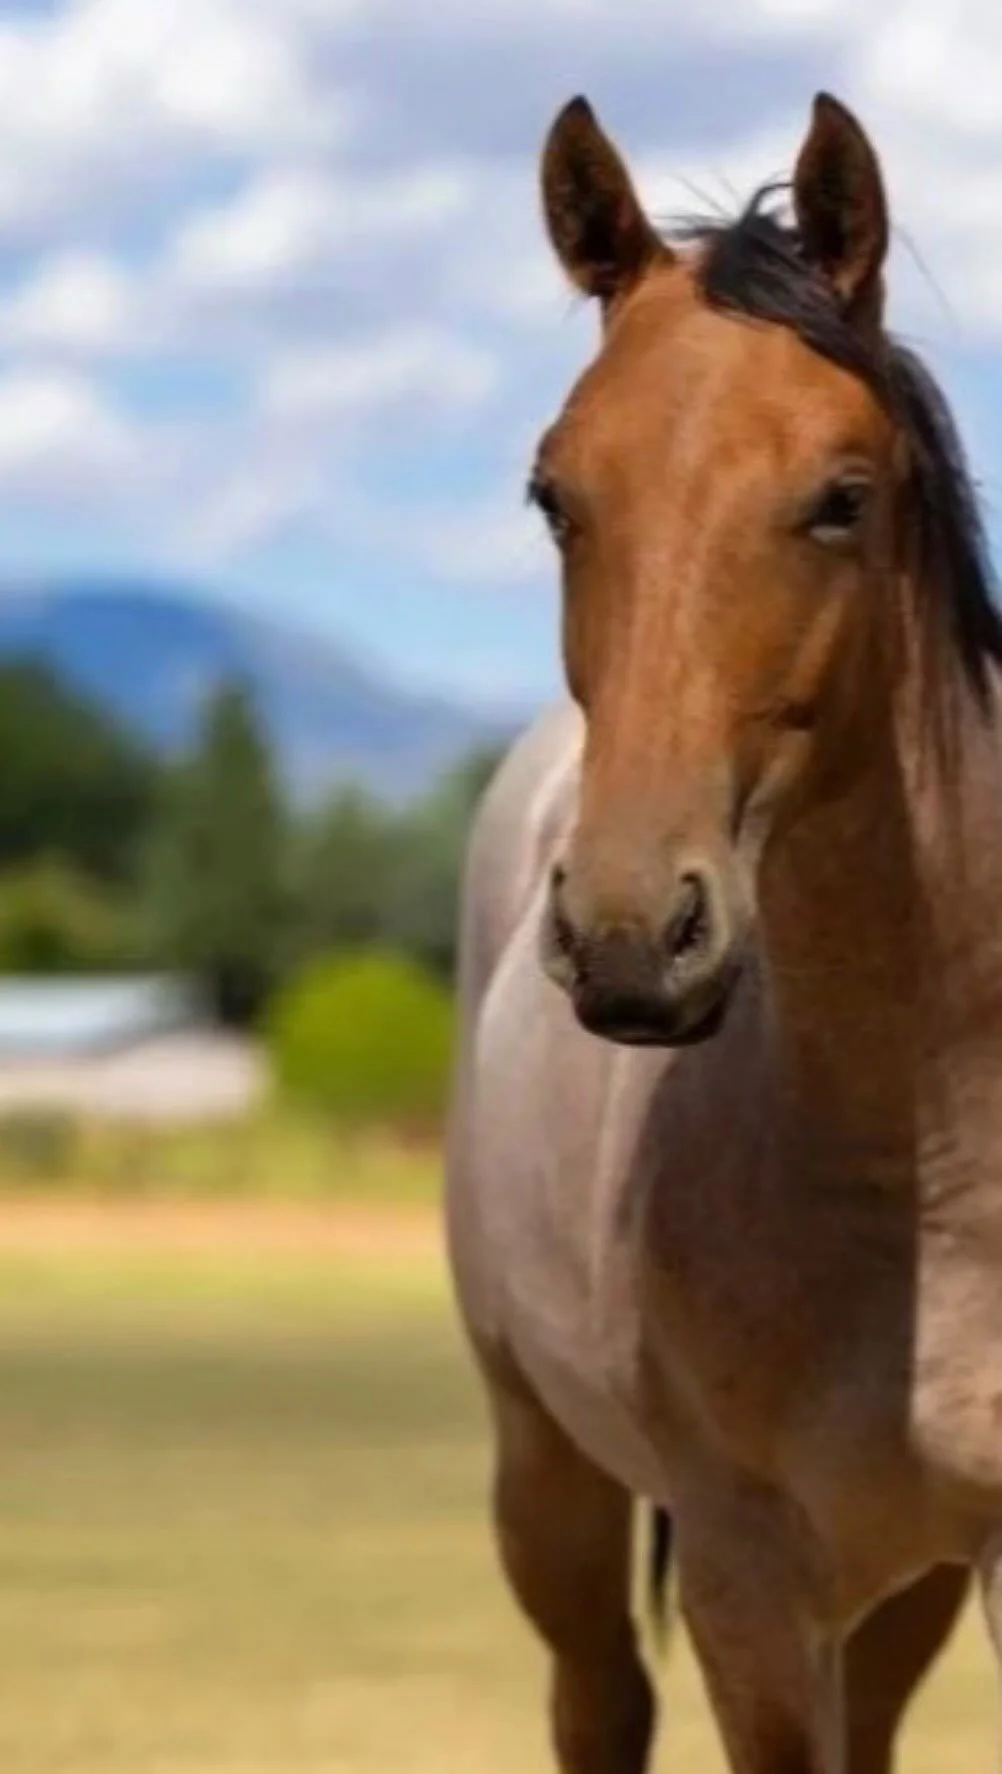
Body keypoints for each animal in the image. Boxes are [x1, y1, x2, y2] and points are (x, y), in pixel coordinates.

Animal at [444, 89, 1002, 1773]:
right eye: (555, 494)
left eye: (841, 496)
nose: (633, 934)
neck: (919, 1159)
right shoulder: (748, 1589)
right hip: (545, 1477)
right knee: (595, 1699)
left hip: (901, 1588)